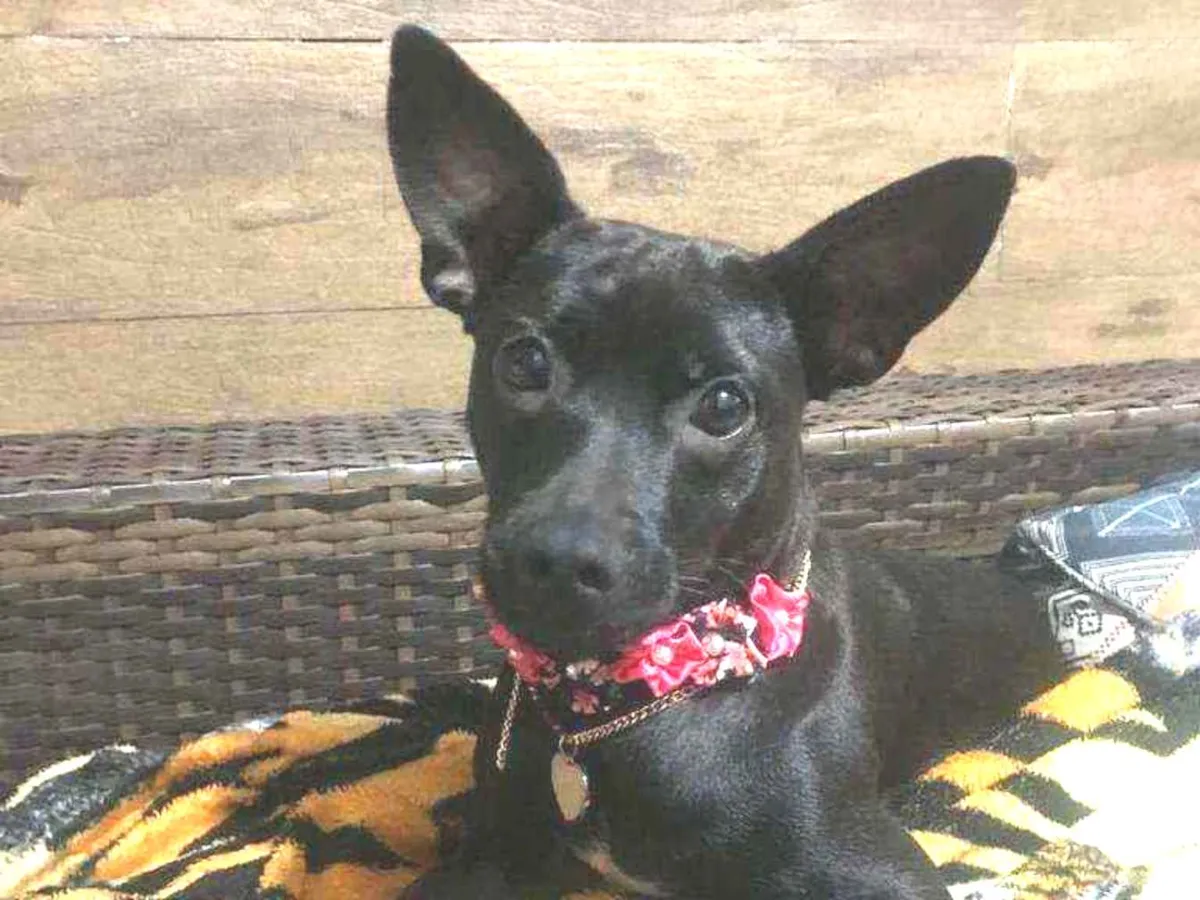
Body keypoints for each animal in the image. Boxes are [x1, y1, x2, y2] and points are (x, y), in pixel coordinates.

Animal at [386, 25, 1064, 900]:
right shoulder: (491, 856)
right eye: (524, 363)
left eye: (723, 406)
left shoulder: (881, 872)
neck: (619, 705)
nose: (556, 561)